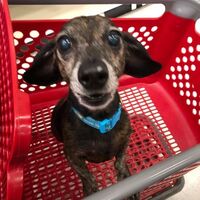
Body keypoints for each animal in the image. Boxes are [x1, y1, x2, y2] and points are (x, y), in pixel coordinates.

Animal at [23, 15, 162, 198]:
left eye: (114, 37)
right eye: (63, 43)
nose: (93, 74)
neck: (100, 121)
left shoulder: (126, 139)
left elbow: (120, 161)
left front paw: (126, 177)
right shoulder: (72, 157)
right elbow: (87, 175)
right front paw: (91, 190)